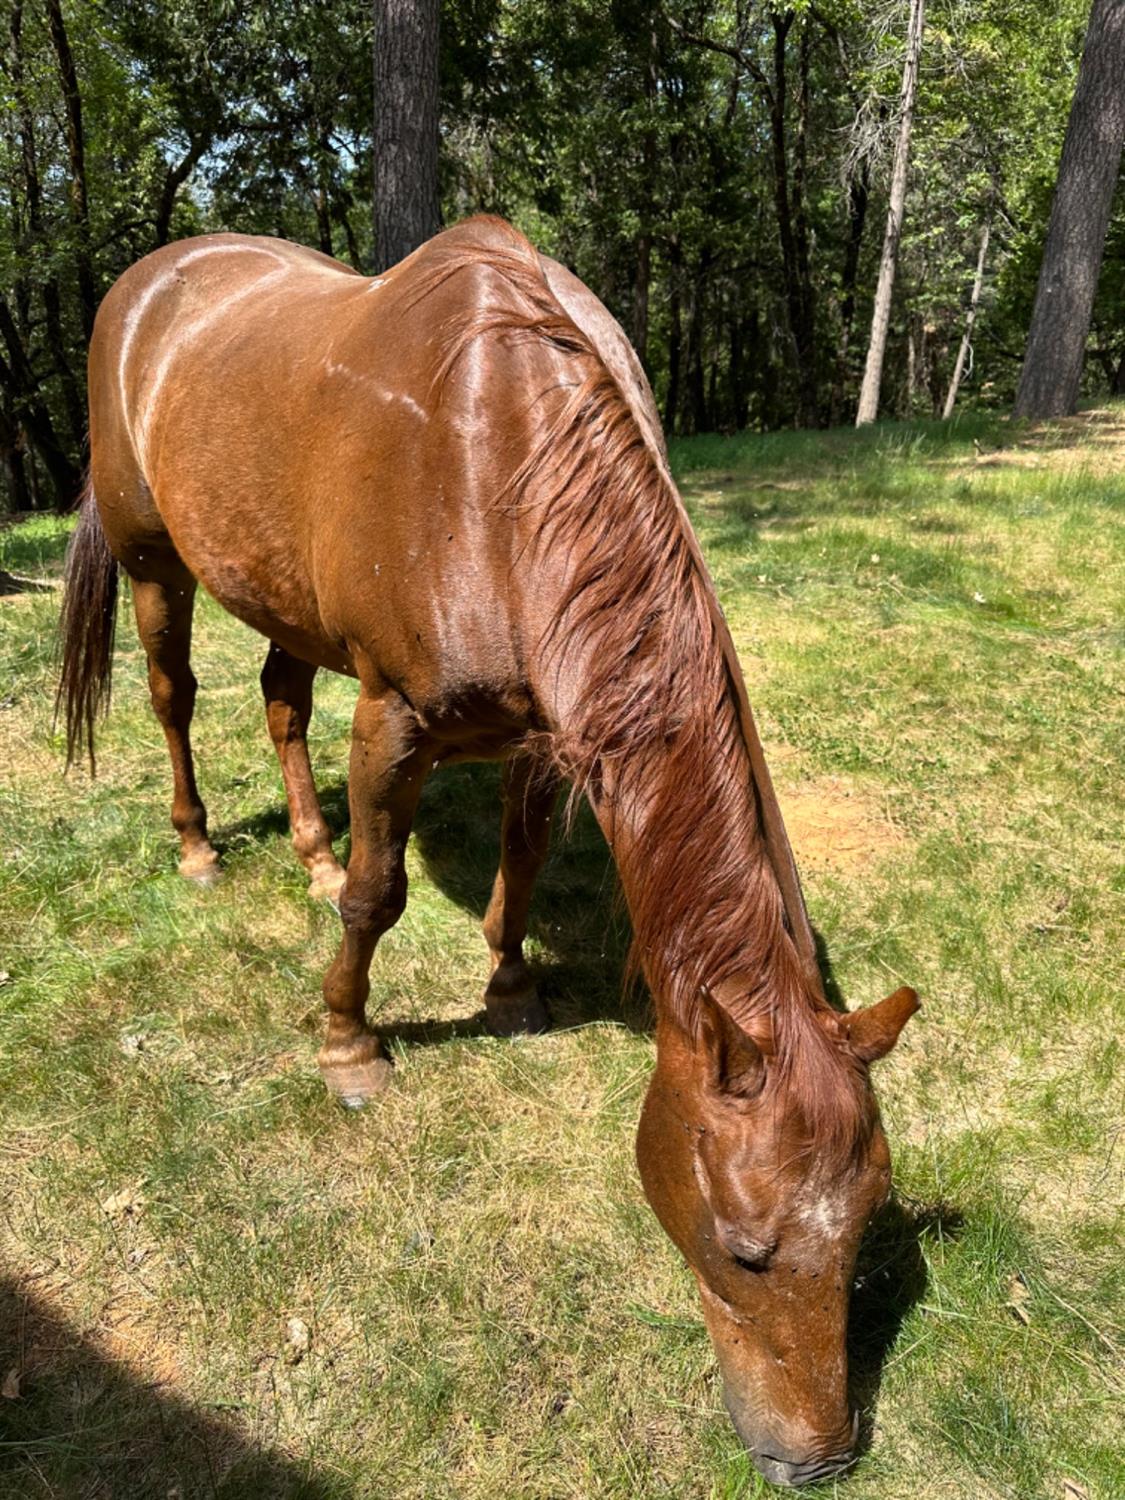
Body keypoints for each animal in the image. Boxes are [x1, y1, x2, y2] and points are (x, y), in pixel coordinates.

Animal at [57, 214, 918, 1488]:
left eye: (863, 1230)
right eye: (743, 1247)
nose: (816, 1460)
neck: (498, 454)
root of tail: (153, 277)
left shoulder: (544, 724)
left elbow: (518, 854)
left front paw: (508, 987)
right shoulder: (395, 720)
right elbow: (379, 897)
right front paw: (349, 1044)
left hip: (278, 592)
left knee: (279, 698)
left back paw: (306, 853)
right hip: (155, 560)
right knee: (175, 696)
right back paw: (202, 850)